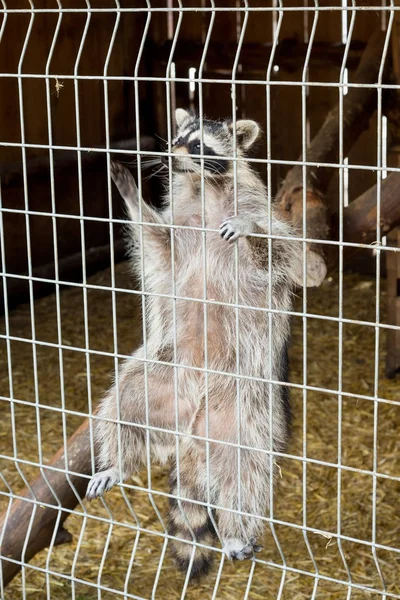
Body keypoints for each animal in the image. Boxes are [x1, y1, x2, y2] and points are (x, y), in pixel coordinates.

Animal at [87, 110, 304, 580]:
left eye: (199, 144)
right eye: (177, 137)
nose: (170, 154)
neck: (207, 190)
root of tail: (190, 425)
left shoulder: (266, 219)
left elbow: (280, 252)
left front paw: (248, 230)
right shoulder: (177, 234)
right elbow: (157, 243)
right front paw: (131, 194)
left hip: (248, 409)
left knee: (246, 470)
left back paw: (238, 527)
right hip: (161, 374)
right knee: (122, 405)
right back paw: (118, 461)